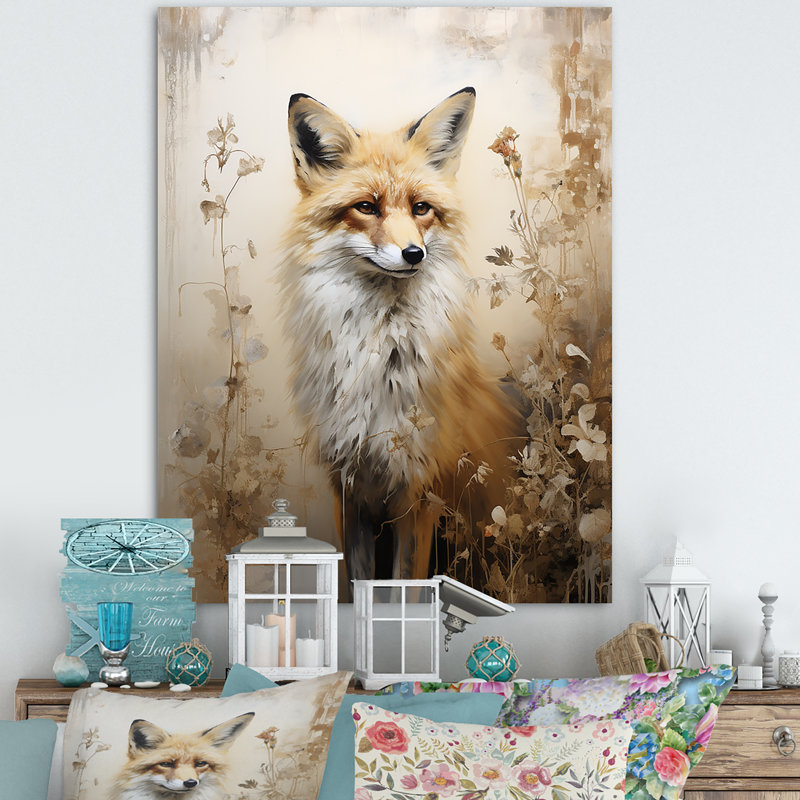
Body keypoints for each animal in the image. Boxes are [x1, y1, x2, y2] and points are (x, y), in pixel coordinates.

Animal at [280, 87, 516, 583]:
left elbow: (402, 585)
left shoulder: (419, 491)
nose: (413, 254)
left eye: (421, 208)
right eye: (366, 207)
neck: (380, 358)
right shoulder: (349, 488)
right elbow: (359, 583)